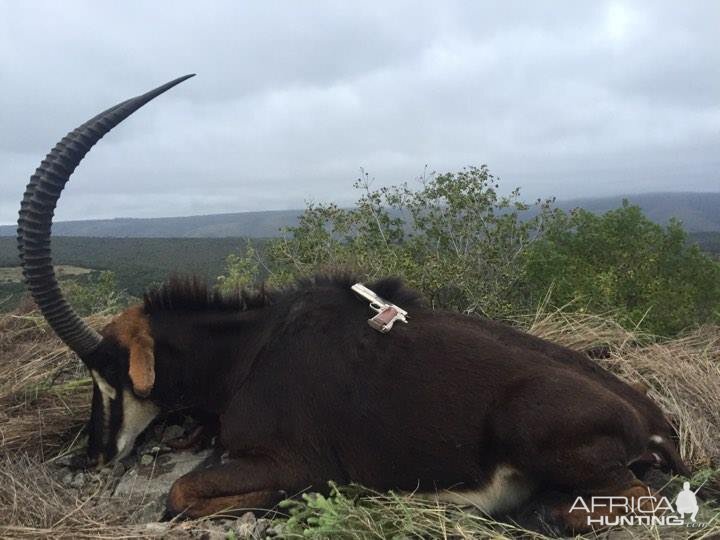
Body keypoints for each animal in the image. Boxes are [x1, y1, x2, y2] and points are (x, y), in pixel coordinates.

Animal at [16, 75, 688, 532]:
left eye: (104, 373)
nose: (93, 455)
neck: (250, 349)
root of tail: (655, 424)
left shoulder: (292, 463)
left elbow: (178, 496)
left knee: (635, 503)